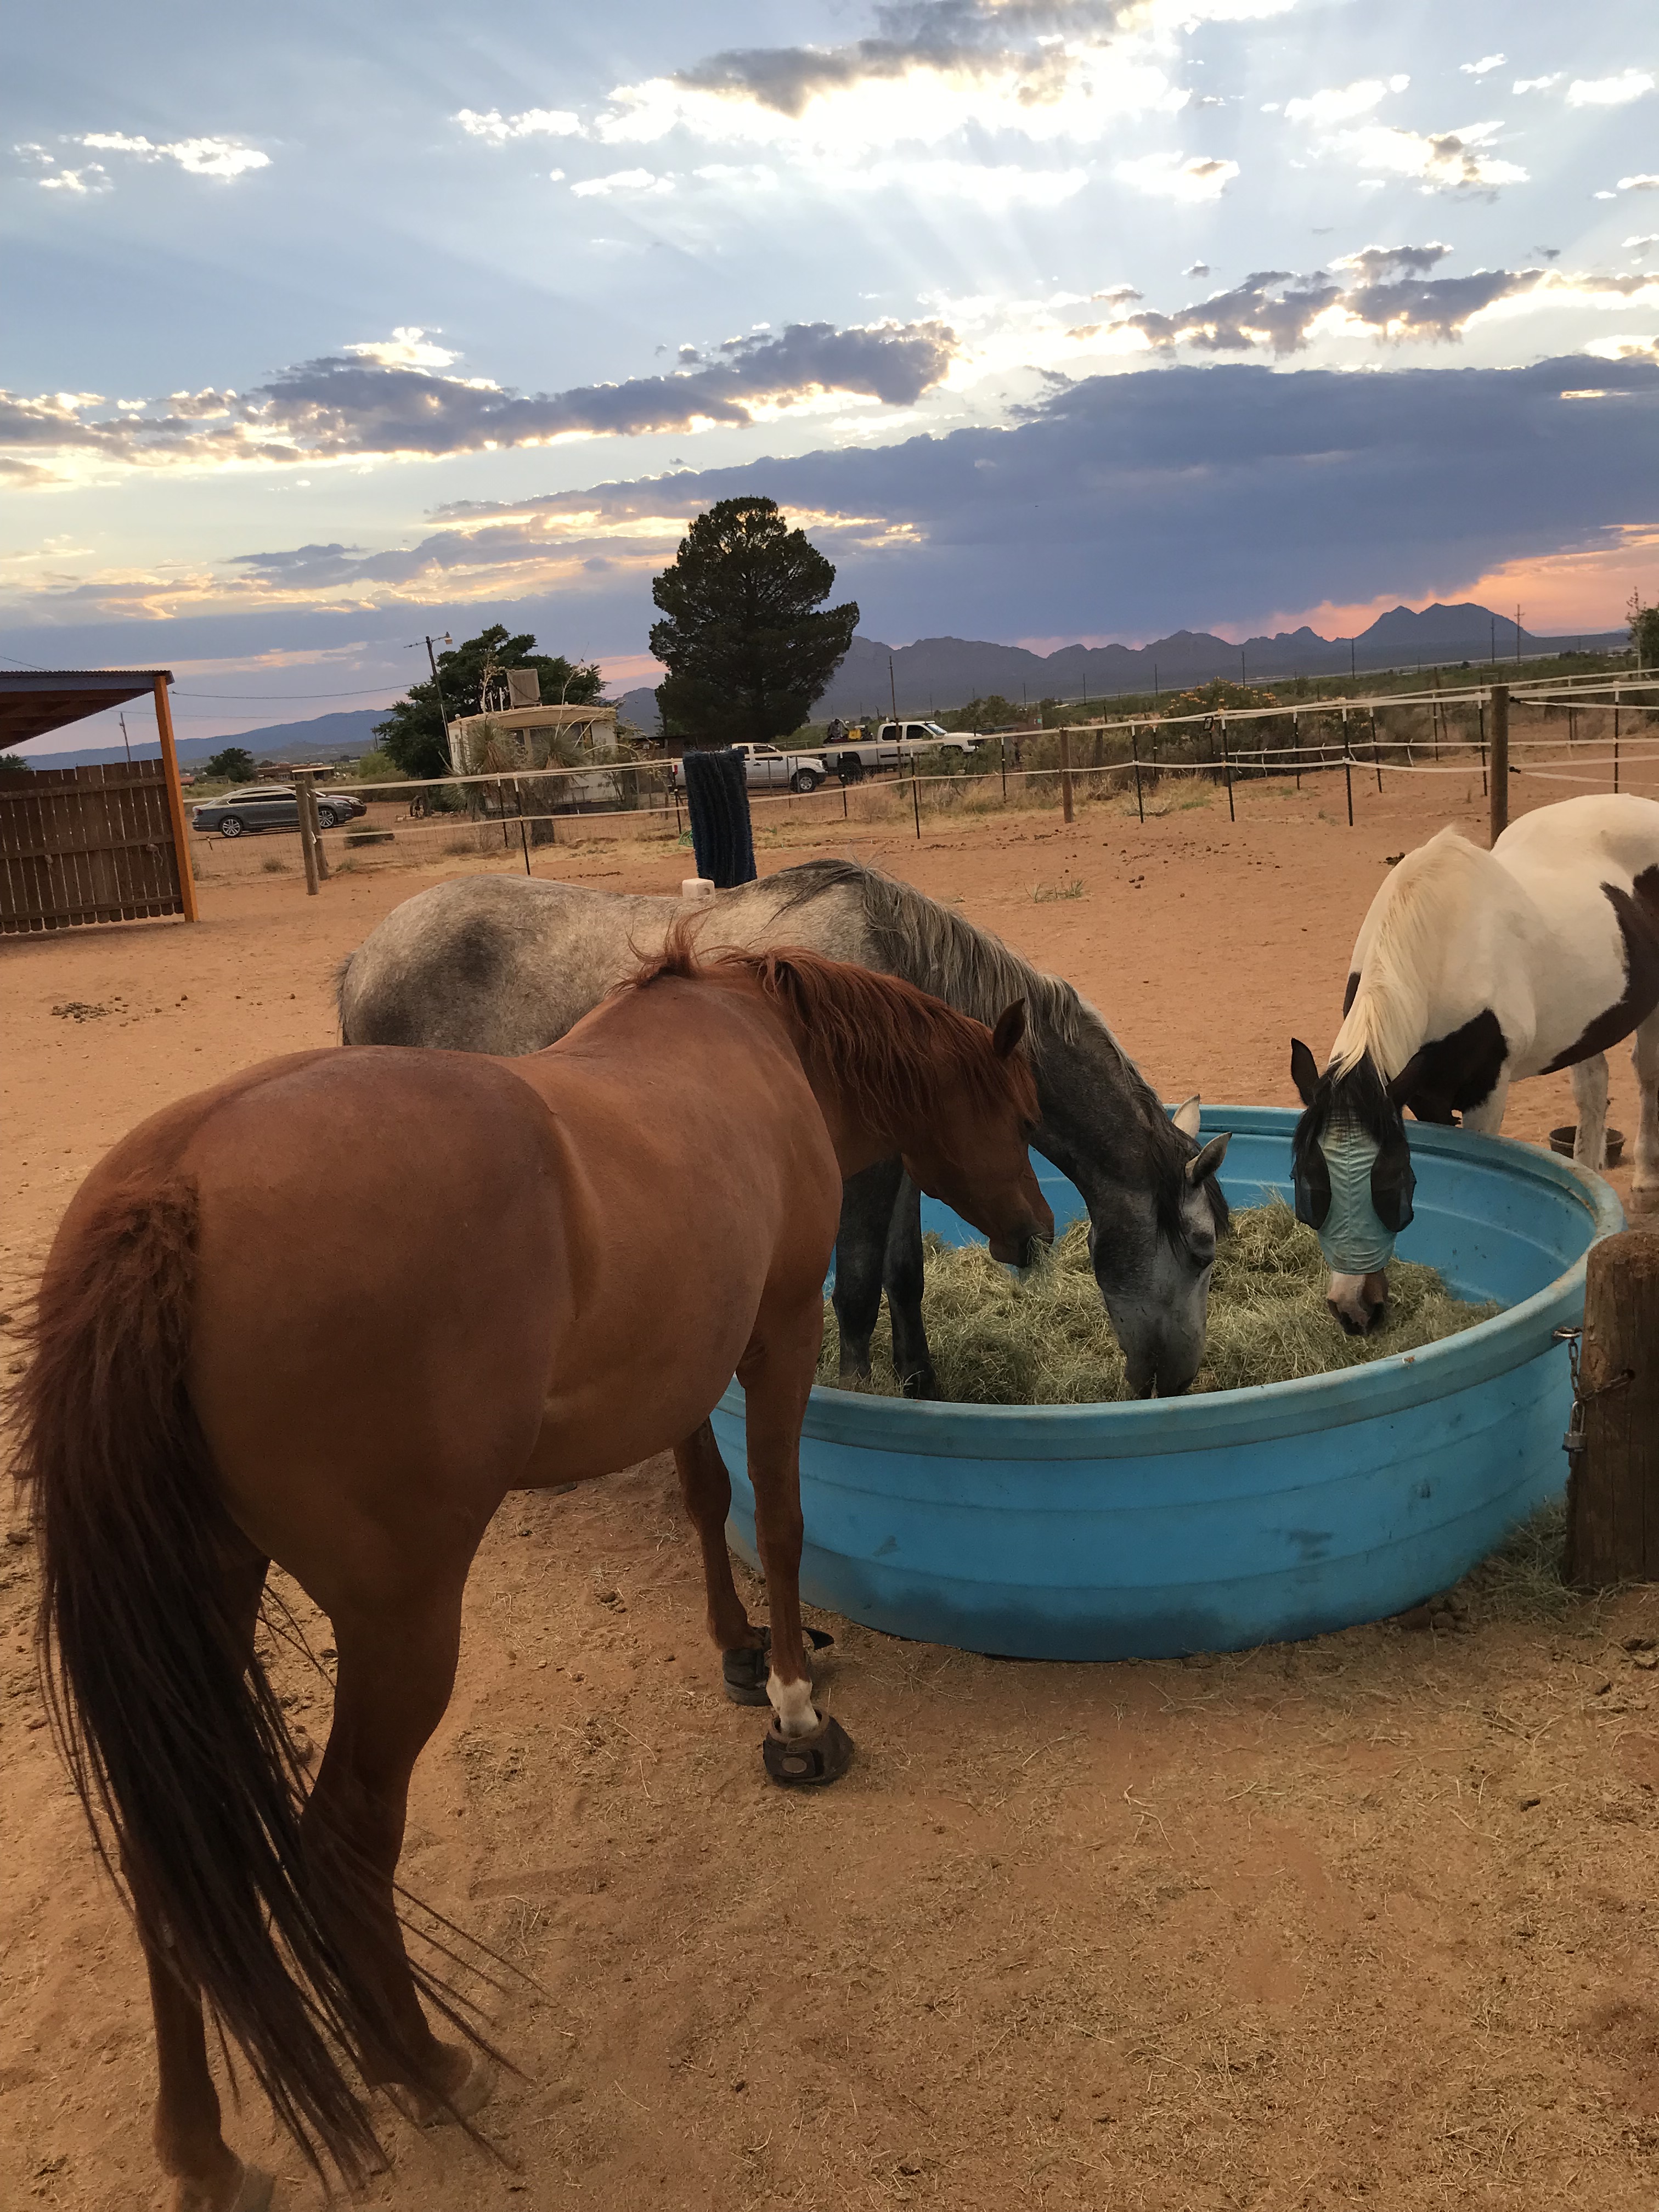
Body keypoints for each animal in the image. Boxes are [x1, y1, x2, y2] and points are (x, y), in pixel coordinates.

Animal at [13, 935, 1050, 2212]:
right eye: (1020, 1111)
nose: (1035, 1232)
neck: (753, 1040)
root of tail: (173, 1194)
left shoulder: (684, 1353)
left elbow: (707, 1498)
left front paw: (739, 1653)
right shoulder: (777, 1333)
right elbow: (781, 1518)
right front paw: (796, 1706)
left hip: (202, 1603)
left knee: (175, 1861)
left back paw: (204, 2150)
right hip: (402, 1623)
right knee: (342, 1841)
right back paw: (421, 2064)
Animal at [338, 857, 1230, 1397]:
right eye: (1201, 1250)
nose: (1177, 1380)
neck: (896, 974)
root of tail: (362, 959)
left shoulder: (905, 1164)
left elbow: (903, 1277)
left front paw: (924, 1384)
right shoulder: (861, 1171)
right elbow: (859, 1284)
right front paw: (856, 1390)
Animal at [1290, 793, 1659, 1332]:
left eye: (1394, 1181)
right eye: (1306, 1182)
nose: (1354, 1309)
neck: (1441, 942)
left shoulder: (1486, 1094)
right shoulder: (1421, 1095)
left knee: (1647, 1075)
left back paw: (1646, 1183)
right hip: (1588, 1025)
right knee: (1593, 1091)